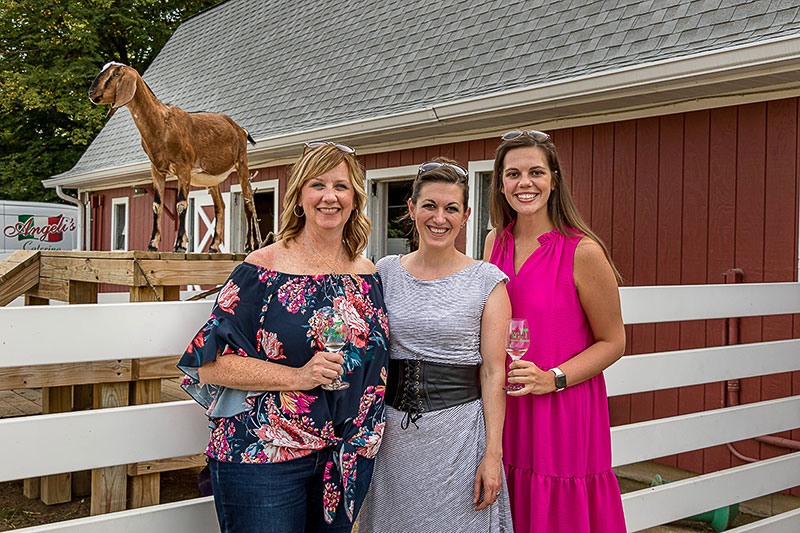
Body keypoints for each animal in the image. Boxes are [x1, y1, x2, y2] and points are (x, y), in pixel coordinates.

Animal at [87, 61, 262, 252]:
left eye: (114, 74)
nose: (91, 93)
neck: (161, 125)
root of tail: (241, 129)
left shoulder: (183, 168)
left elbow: (181, 204)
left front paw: (179, 244)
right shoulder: (156, 169)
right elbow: (156, 206)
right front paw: (152, 244)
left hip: (242, 162)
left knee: (248, 203)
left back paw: (249, 246)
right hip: (212, 178)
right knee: (220, 206)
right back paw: (214, 246)